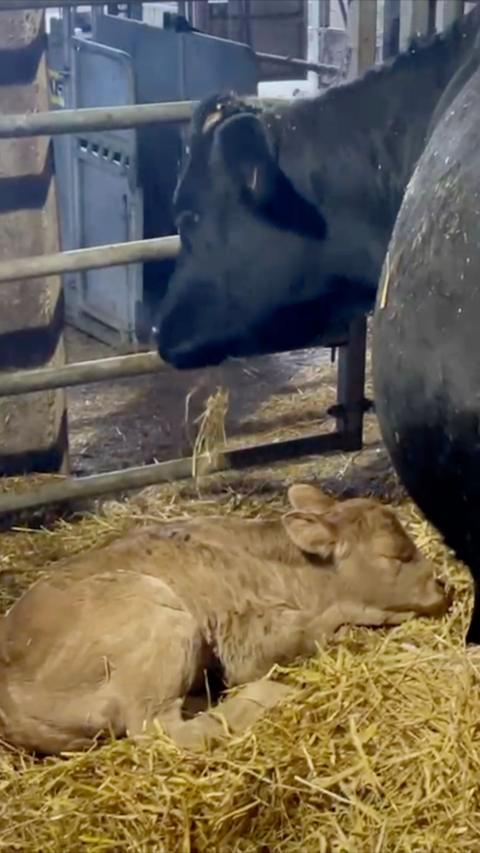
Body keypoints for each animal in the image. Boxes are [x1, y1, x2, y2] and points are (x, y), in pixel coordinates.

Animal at [0, 484, 449, 755]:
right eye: (395, 555)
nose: (443, 587)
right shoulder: (247, 642)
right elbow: (315, 630)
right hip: (158, 616)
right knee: (160, 728)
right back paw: (267, 695)